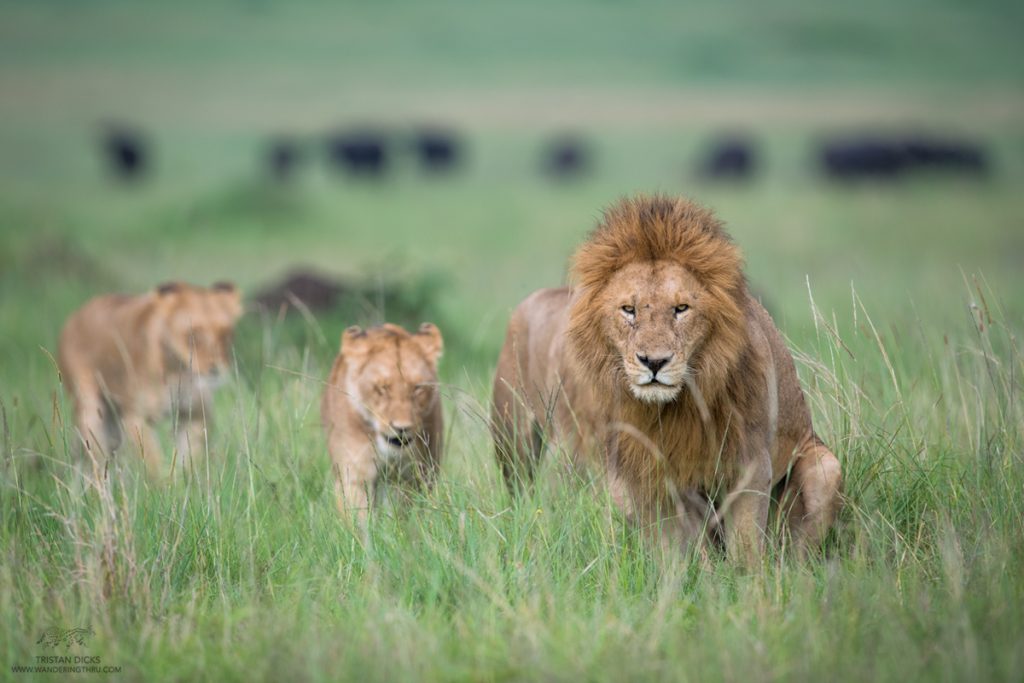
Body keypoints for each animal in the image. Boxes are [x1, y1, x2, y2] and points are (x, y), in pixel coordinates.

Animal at [58, 281, 243, 478]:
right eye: (193, 334)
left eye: (225, 334)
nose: (215, 369)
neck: (178, 373)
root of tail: (77, 314)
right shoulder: (136, 418)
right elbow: (152, 463)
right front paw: (163, 485)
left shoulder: (197, 415)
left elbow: (188, 458)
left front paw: (182, 482)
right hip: (91, 413)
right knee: (96, 462)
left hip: (112, 420)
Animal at [321, 323, 444, 522]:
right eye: (382, 388)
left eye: (417, 388)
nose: (401, 427)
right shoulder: (355, 474)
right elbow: (358, 517)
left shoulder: (408, 477)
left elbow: (399, 513)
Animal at [491, 195, 842, 563]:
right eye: (629, 310)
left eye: (681, 308)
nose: (654, 362)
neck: (676, 408)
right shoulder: (649, 476)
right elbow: (677, 553)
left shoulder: (750, 465)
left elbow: (745, 549)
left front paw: (747, 579)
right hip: (519, 447)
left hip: (826, 468)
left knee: (794, 553)